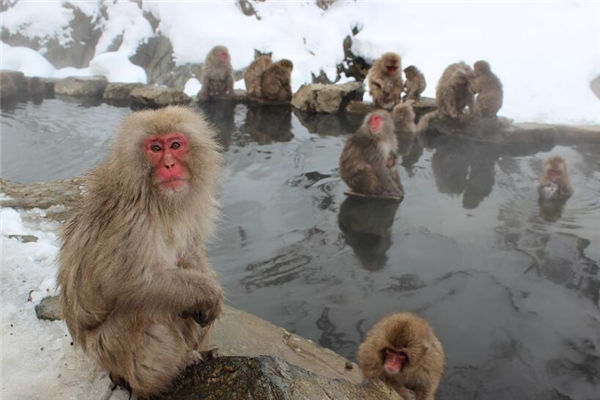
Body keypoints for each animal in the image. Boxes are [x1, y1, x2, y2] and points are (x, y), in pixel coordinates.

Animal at [58, 105, 224, 396]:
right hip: (109, 348)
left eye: (176, 145)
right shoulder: (132, 222)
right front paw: (209, 294)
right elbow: (130, 282)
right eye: (155, 148)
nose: (169, 165)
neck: (156, 199)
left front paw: (207, 290)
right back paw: (166, 373)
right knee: (146, 308)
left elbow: (190, 252)